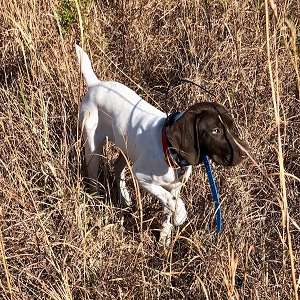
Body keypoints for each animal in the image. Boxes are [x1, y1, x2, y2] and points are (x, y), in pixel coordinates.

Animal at [76, 45, 250, 246]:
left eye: (232, 126)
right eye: (215, 131)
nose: (247, 152)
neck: (169, 149)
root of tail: (95, 84)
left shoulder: (174, 186)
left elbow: (168, 208)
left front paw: (164, 240)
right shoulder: (142, 176)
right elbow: (173, 201)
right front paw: (180, 216)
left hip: (127, 147)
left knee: (117, 167)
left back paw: (125, 198)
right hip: (92, 147)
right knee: (93, 178)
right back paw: (96, 202)